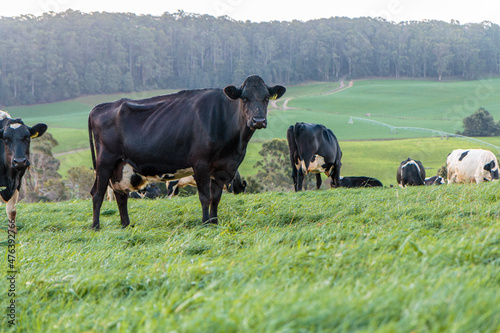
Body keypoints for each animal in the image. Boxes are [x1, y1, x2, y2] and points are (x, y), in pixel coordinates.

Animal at [89, 74, 286, 228]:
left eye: (266, 98)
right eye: (244, 98)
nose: (258, 120)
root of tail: (100, 107)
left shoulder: (223, 168)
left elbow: (216, 198)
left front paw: (214, 222)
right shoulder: (201, 164)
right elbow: (205, 197)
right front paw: (205, 223)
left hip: (119, 167)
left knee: (120, 195)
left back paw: (126, 225)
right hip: (105, 162)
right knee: (97, 194)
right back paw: (96, 226)